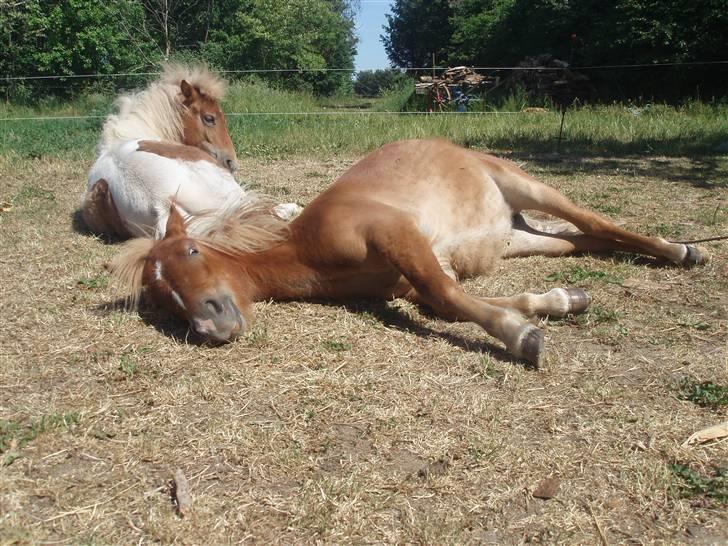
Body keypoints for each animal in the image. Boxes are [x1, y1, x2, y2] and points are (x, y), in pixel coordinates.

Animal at [111, 138, 708, 364]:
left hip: (530, 188)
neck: (307, 250)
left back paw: (683, 251)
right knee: (580, 239)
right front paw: (560, 303)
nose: (211, 324)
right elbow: (441, 299)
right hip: (517, 238)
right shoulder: (415, 268)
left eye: (191, 251)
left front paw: (523, 339)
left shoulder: (397, 234)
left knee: (597, 222)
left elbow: (444, 295)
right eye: (160, 300)